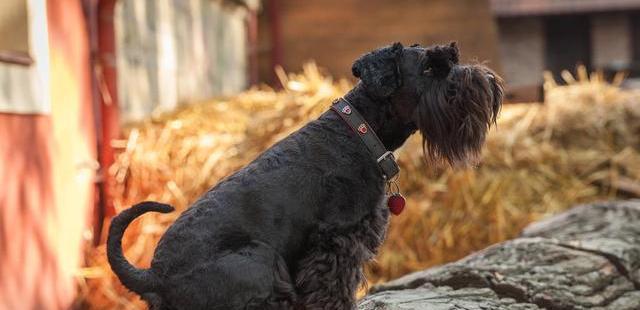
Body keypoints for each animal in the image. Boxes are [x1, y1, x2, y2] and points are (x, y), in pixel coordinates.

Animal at [107, 41, 502, 310]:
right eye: (429, 68)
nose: (486, 81)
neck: (358, 131)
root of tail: (154, 276)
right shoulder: (337, 239)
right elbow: (334, 286)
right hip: (261, 264)